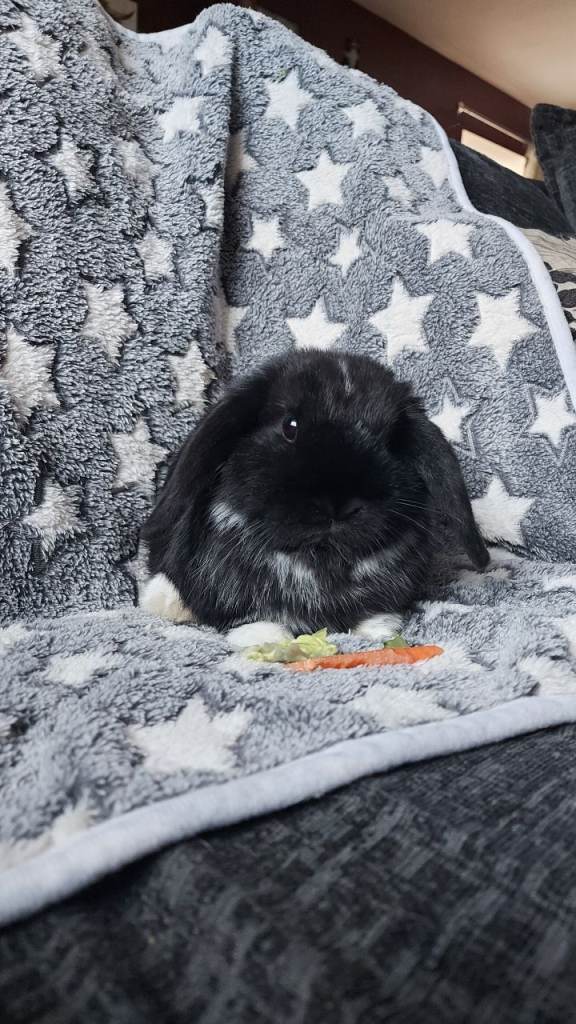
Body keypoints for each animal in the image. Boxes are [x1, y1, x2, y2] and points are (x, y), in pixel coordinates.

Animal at [140, 349, 489, 649]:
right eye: (290, 426)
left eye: (391, 442)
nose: (339, 506)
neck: (318, 560)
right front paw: (264, 636)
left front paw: (379, 628)